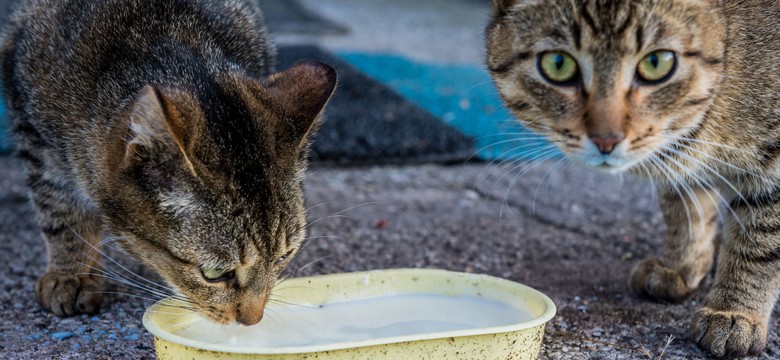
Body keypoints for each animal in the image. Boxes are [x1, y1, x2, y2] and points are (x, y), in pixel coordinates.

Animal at [0, 0, 336, 326]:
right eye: (214, 273)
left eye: (283, 257)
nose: (252, 321)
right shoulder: (33, 131)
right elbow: (60, 210)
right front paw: (72, 273)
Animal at [488, 0, 780, 358]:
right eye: (558, 64)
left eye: (656, 63)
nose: (606, 139)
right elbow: (685, 206)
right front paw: (683, 264)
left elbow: (758, 242)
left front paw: (735, 310)